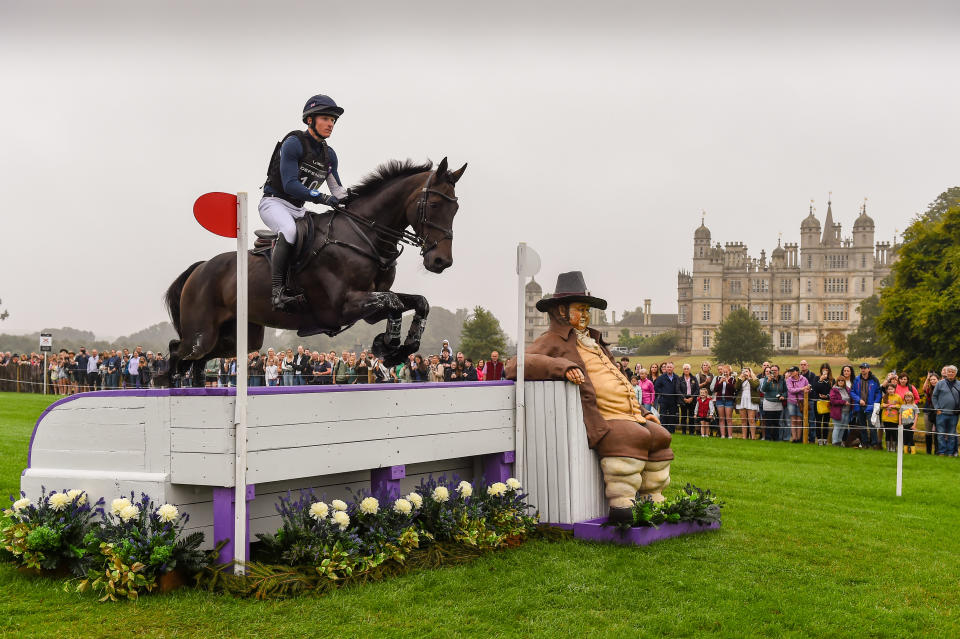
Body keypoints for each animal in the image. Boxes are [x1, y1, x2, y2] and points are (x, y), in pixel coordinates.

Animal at [163, 158, 466, 388]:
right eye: (435, 205)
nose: (441, 261)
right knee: (179, 352)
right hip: (202, 333)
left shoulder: (371, 303)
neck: (363, 236)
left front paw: (400, 347)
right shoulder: (341, 306)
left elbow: (417, 302)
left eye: (456, 208)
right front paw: (388, 344)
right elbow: (394, 304)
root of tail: (200, 268)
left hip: (238, 338)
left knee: (198, 360)